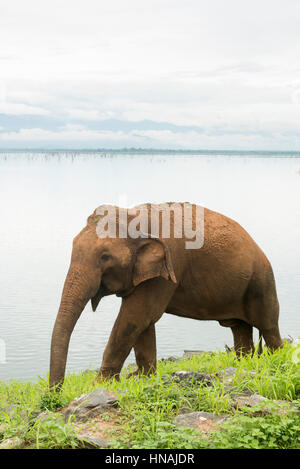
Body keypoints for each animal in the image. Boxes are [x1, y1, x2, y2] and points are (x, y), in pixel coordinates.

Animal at [48, 201, 282, 388]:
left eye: (105, 256)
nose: (55, 392)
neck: (135, 216)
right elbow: (143, 322)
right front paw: (143, 378)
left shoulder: (170, 264)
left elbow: (136, 317)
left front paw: (99, 385)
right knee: (239, 327)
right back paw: (245, 363)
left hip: (261, 281)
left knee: (268, 325)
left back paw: (276, 359)